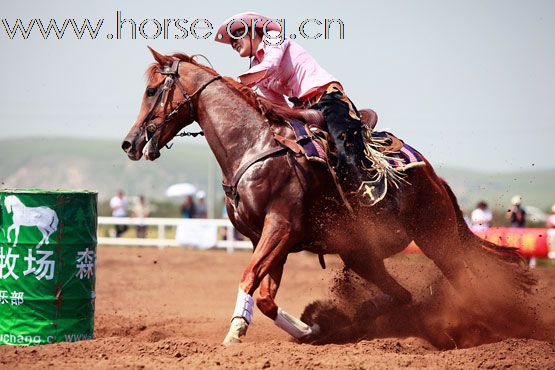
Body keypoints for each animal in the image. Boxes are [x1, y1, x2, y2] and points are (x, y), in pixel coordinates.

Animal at [122, 47, 536, 346]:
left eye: (151, 90)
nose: (130, 143)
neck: (253, 147)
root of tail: (432, 175)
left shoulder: (281, 228)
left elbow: (249, 277)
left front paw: (235, 330)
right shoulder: (266, 238)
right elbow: (266, 297)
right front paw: (311, 330)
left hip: (437, 238)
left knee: (462, 279)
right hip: (362, 255)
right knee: (402, 294)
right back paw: (364, 316)